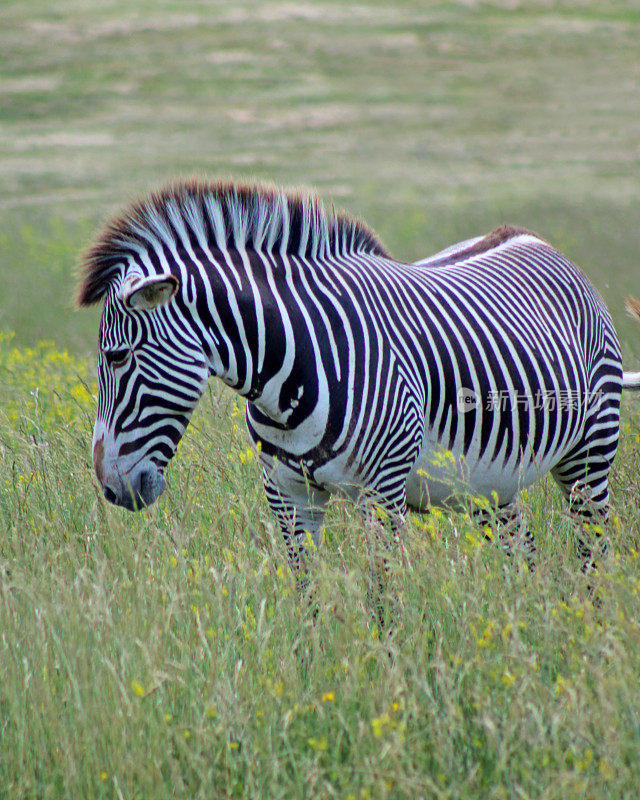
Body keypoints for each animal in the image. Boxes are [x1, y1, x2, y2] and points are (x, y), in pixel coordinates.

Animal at [77, 177, 640, 576]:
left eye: (118, 357)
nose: (108, 487)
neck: (287, 377)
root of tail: (534, 238)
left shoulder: (383, 493)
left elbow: (381, 597)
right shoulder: (288, 496)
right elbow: (307, 597)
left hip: (589, 455)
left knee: (593, 554)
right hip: (493, 482)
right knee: (524, 561)